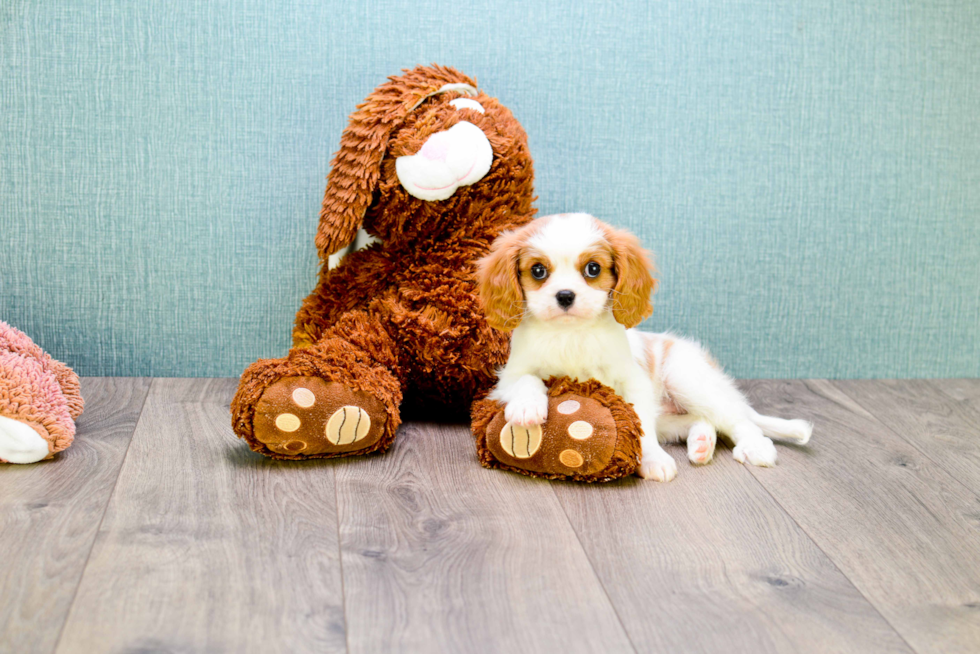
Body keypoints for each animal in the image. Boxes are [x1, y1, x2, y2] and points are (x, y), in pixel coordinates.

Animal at [474, 215, 812, 482]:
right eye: (538, 271)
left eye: (593, 269)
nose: (565, 295)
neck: (573, 334)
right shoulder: (506, 378)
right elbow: (527, 379)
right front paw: (527, 407)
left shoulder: (633, 383)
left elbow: (640, 427)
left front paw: (653, 459)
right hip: (672, 417)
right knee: (705, 421)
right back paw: (702, 443)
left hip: (686, 377)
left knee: (737, 420)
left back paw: (755, 447)